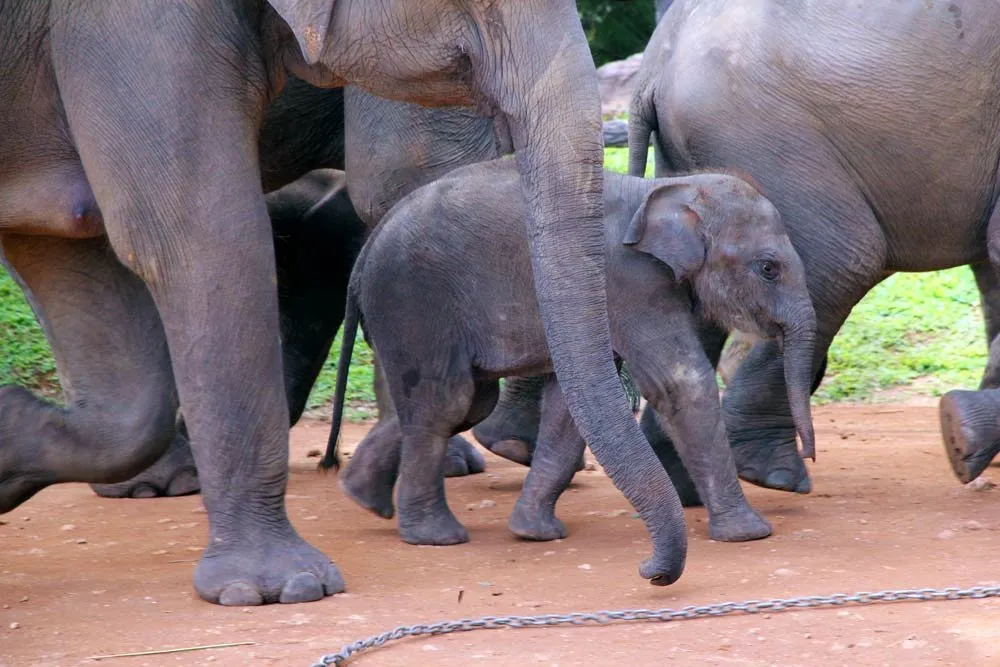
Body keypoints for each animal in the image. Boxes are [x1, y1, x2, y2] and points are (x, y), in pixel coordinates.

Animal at [322, 157, 817, 552]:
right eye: (768, 269)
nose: (809, 462)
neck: (660, 191)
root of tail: (366, 251)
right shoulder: (630, 284)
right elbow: (681, 381)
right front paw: (750, 534)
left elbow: (568, 403)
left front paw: (534, 533)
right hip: (414, 303)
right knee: (447, 401)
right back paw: (435, 537)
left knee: (462, 403)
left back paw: (363, 497)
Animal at [620, 0, 1000, 499]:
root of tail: (652, 65)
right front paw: (965, 437)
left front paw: (968, 440)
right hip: (763, 134)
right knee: (841, 263)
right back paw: (772, 472)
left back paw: (690, 487)